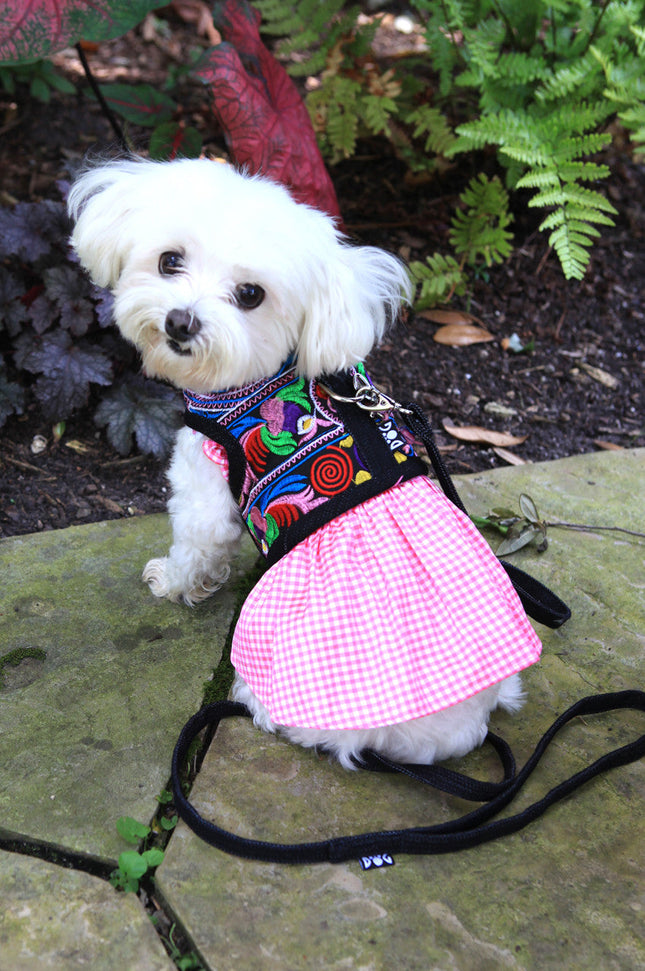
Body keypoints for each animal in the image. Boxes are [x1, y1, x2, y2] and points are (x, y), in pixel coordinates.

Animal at [68, 158, 540, 768]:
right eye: (170, 260)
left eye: (250, 295)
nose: (180, 321)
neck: (262, 379)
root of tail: (464, 729)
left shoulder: (203, 478)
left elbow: (197, 543)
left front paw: (173, 583)